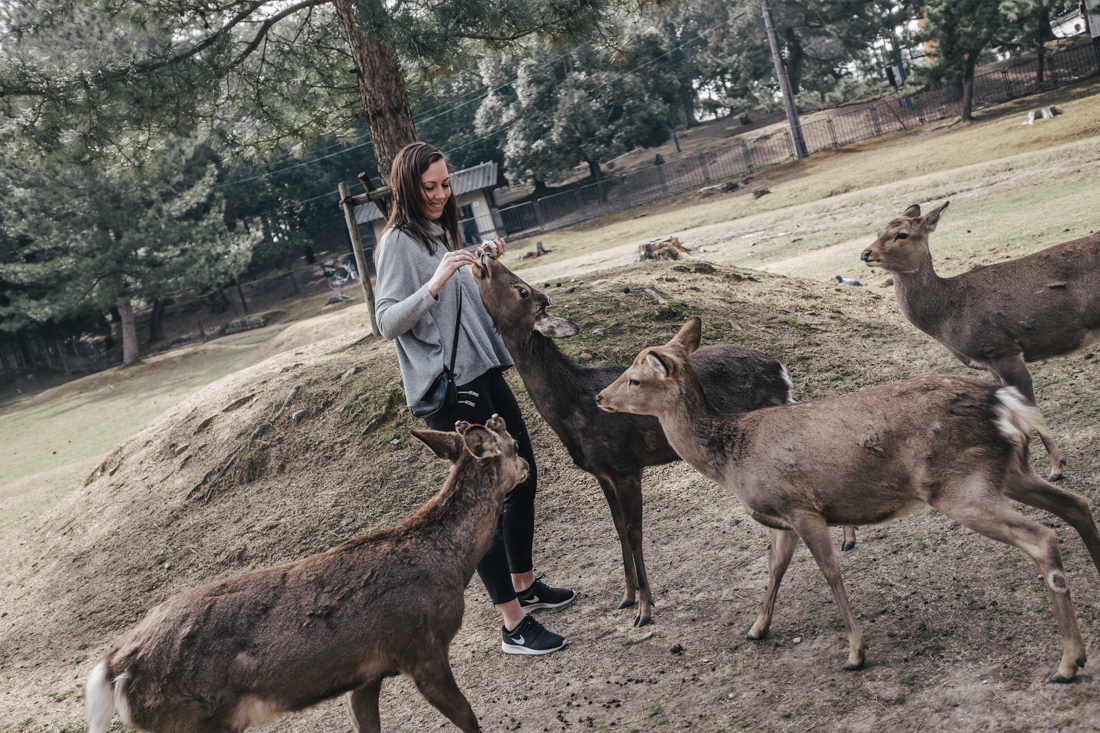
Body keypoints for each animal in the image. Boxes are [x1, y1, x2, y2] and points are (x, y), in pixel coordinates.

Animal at [84, 413, 528, 730]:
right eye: (514, 443)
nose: (525, 463)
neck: (450, 566)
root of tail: (113, 669)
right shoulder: (420, 646)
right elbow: (468, 717)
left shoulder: (366, 673)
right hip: (194, 719)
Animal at [473, 254, 858, 625]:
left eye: (522, 289)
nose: (484, 257)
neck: (574, 411)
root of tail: (780, 368)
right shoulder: (602, 472)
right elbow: (618, 530)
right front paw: (626, 597)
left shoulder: (626, 465)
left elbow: (634, 533)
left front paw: (645, 609)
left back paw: (847, 538)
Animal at [598, 316, 1100, 682]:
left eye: (634, 379)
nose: (601, 396)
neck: (730, 461)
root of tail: (1006, 404)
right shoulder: (782, 517)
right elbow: (774, 569)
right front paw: (757, 629)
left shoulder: (802, 506)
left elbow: (830, 572)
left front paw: (856, 653)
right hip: (1010, 471)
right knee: (1077, 503)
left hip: (960, 485)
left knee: (1043, 537)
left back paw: (1068, 662)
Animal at [858, 202, 1100, 482]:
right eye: (878, 230)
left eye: (902, 235)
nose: (865, 253)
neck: (946, 318)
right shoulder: (991, 362)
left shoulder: (1002, 349)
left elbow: (1030, 411)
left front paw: (1055, 469)